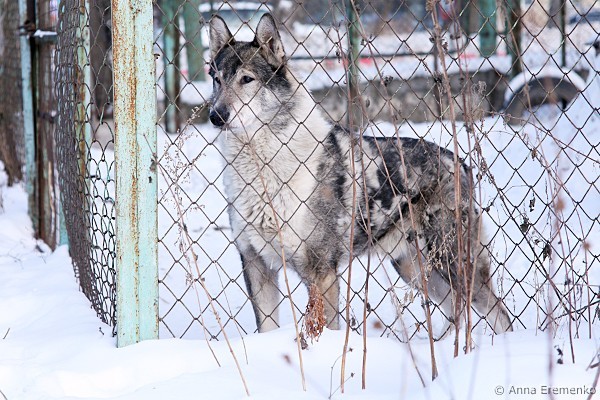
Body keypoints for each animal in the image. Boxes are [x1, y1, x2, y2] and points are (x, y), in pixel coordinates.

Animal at [207, 13, 512, 335]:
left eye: (246, 79)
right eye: (217, 80)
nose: (216, 116)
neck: (262, 166)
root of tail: (462, 164)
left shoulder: (322, 274)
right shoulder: (256, 265)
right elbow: (267, 329)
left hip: (452, 264)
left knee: (497, 313)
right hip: (414, 270)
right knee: (456, 308)